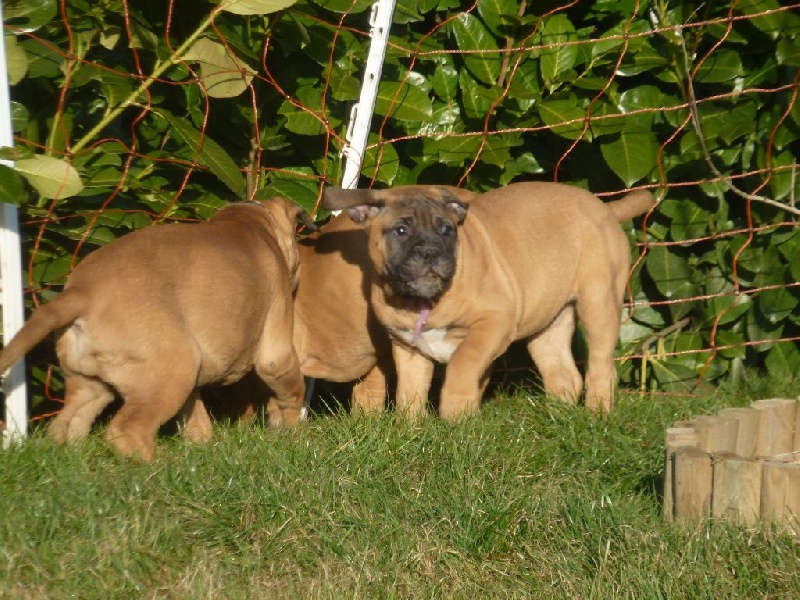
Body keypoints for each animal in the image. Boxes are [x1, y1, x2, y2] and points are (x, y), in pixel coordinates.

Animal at [0, 198, 312, 460]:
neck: (251, 222)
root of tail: (81, 293)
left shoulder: (193, 384)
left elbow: (197, 419)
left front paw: (202, 446)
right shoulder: (276, 356)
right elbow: (292, 393)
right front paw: (292, 431)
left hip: (93, 383)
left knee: (67, 424)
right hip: (172, 369)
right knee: (127, 431)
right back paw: (164, 465)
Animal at [322, 180, 652, 420]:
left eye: (447, 230)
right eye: (401, 230)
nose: (431, 252)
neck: (420, 303)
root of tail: (603, 207)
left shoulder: (493, 322)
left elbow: (462, 363)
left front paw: (454, 413)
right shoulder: (408, 347)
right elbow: (410, 391)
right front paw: (410, 429)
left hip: (599, 303)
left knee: (600, 366)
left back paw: (597, 414)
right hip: (548, 322)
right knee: (562, 372)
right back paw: (558, 419)